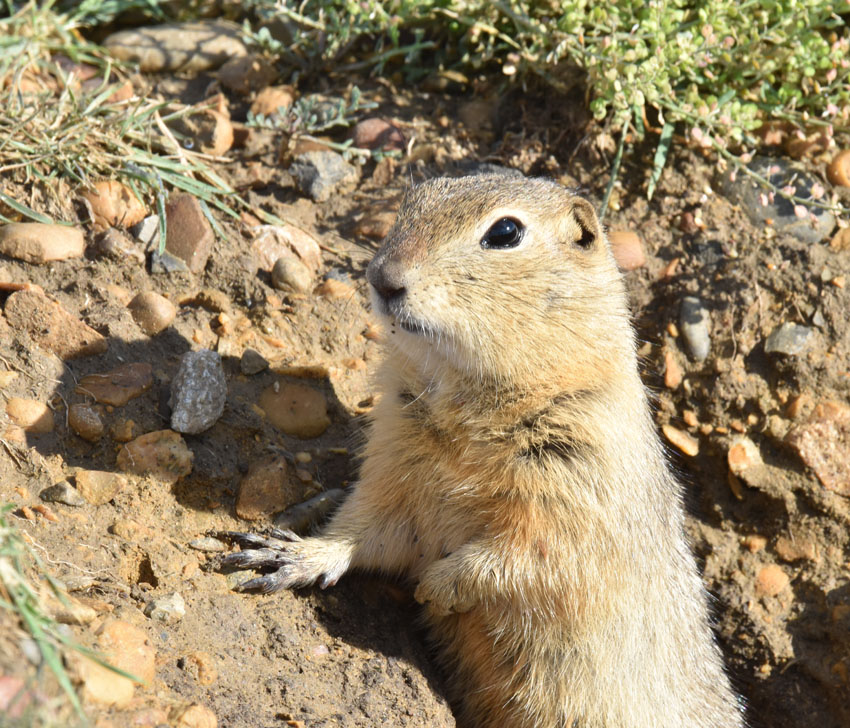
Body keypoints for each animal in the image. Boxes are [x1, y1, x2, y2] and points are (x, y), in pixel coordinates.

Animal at [224, 173, 744, 724]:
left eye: (505, 231)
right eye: (413, 198)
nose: (382, 277)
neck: (467, 401)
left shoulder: (579, 482)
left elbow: (526, 557)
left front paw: (434, 588)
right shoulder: (393, 464)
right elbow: (365, 530)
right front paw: (286, 554)